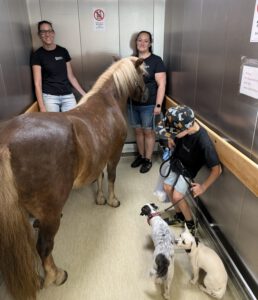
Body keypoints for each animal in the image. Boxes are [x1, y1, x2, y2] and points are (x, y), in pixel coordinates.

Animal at [0, 56, 145, 300]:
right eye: (144, 75)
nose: (146, 97)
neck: (108, 102)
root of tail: (6, 143)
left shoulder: (100, 156)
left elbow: (99, 176)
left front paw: (100, 199)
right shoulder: (114, 153)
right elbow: (112, 176)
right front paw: (112, 200)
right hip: (49, 212)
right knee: (44, 246)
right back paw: (56, 276)